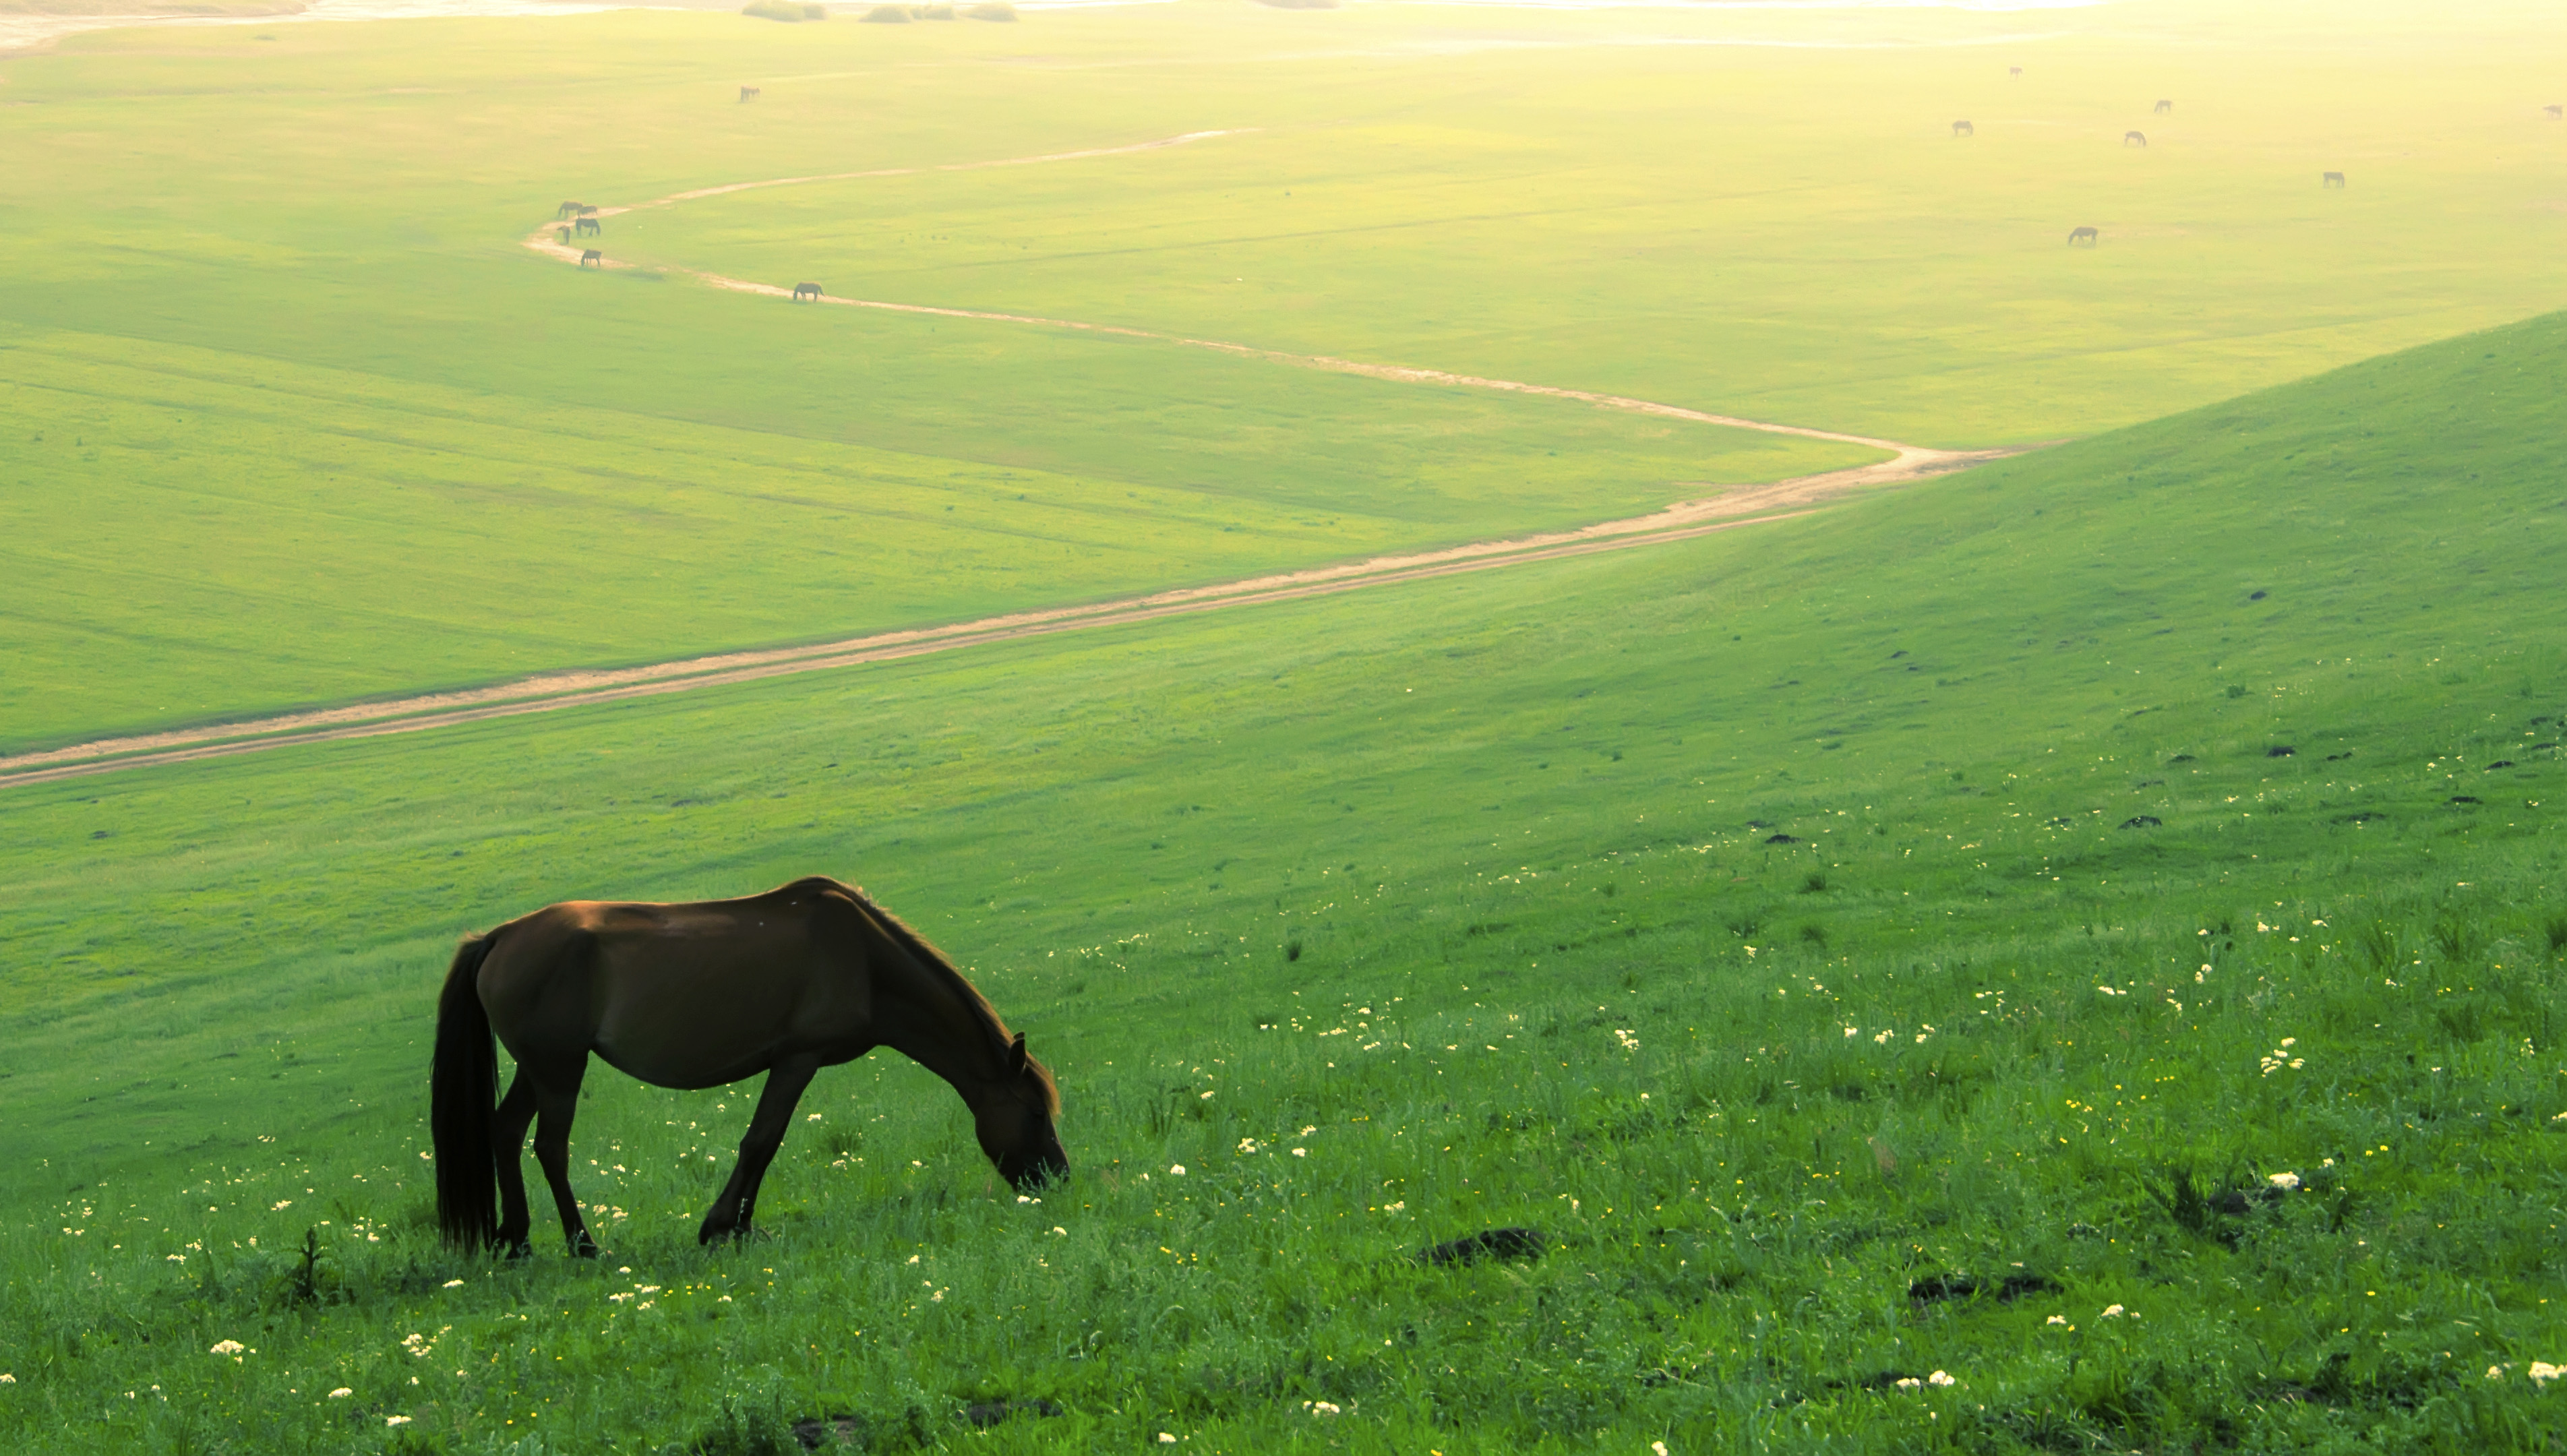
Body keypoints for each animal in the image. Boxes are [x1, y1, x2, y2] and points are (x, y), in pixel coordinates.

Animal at [431, 873, 1062, 1258]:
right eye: (1036, 1113)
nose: (1057, 1177)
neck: (866, 959)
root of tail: (500, 937)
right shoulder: (797, 1060)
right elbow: (763, 1140)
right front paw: (724, 1225)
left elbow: (762, 1142)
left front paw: (736, 1223)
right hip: (560, 1069)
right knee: (549, 1148)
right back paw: (583, 1244)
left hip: (537, 1068)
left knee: (505, 1131)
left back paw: (516, 1241)